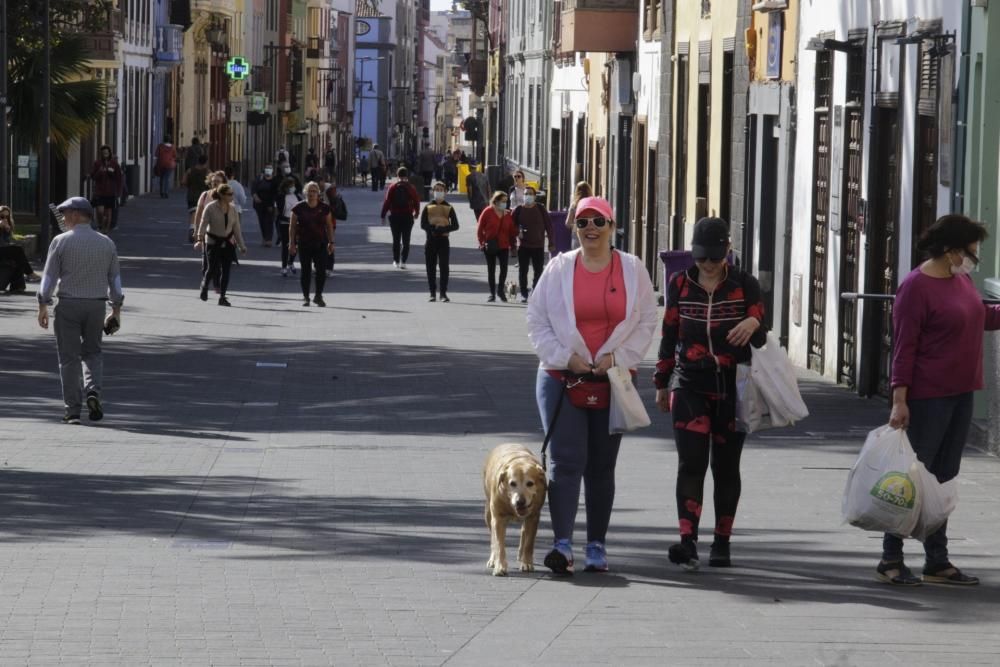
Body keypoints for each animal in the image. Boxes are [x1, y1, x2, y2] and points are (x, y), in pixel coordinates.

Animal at [484, 444, 548, 576]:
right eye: (512, 483)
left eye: (530, 483)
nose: (520, 501)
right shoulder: (498, 519)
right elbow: (499, 544)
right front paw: (500, 566)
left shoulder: (533, 517)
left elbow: (529, 543)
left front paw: (527, 563)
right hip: (488, 513)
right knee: (492, 536)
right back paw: (492, 559)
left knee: (524, 532)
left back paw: (521, 555)